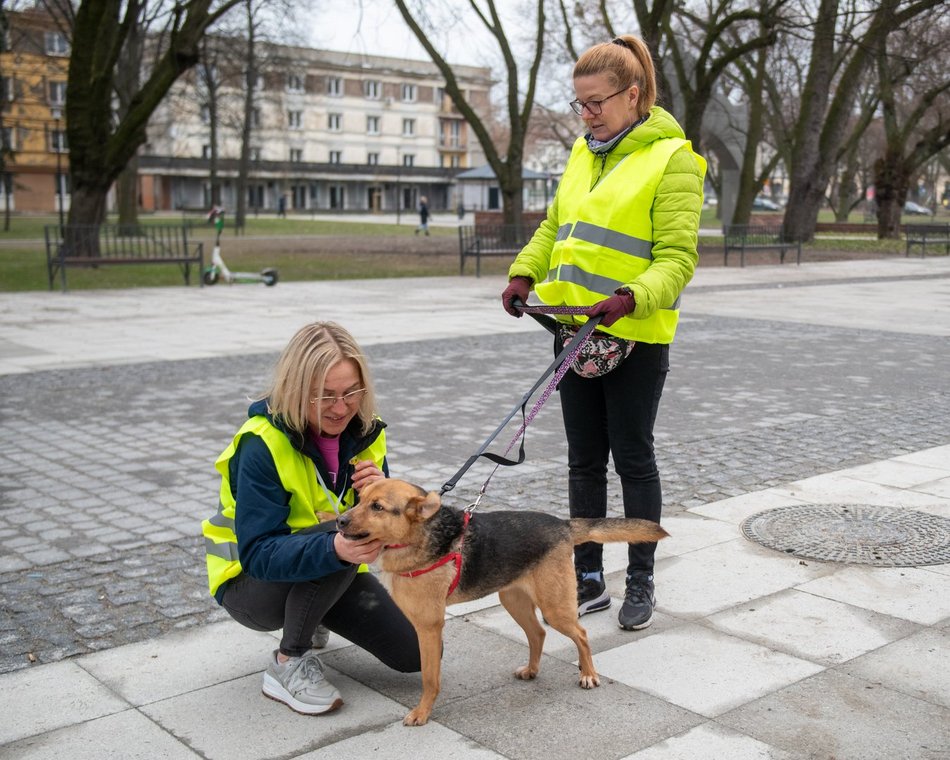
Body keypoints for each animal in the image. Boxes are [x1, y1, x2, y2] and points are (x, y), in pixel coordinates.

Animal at [336, 478, 668, 728]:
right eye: (359, 499)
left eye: (377, 507)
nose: (339, 520)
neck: (419, 536)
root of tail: (562, 524)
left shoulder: (429, 628)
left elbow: (430, 678)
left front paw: (422, 712)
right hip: (513, 600)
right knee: (538, 633)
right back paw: (532, 670)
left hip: (554, 608)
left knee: (581, 635)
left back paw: (588, 674)